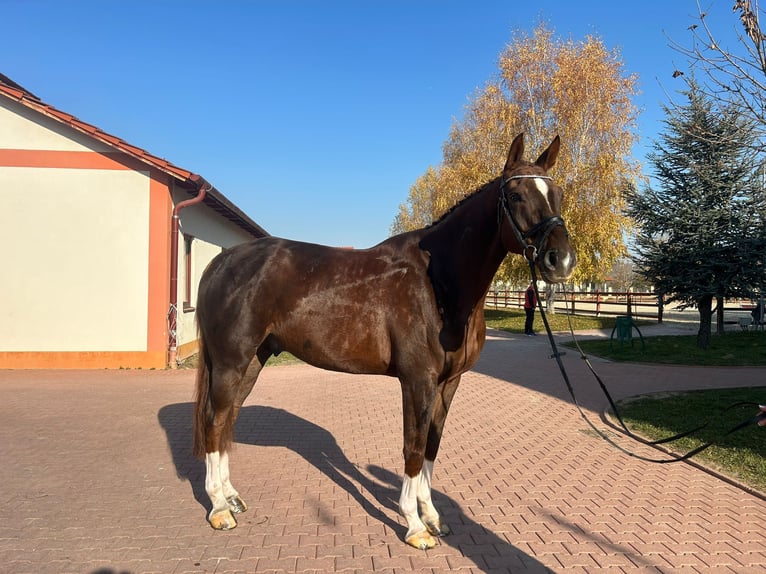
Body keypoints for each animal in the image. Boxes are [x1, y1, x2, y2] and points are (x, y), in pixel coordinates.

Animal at [195, 133, 580, 552]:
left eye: (557, 193)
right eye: (515, 195)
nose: (560, 261)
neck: (438, 283)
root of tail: (223, 261)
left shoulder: (449, 383)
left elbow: (432, 445)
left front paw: (433, 517)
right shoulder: (417, 380)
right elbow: (413, 447)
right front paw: (414, 526)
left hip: (252, 360)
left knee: (228, 420)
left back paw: (232, 497)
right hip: (231, 362)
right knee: (214, 422)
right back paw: (219, 509)